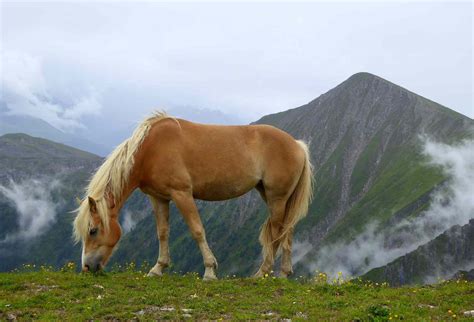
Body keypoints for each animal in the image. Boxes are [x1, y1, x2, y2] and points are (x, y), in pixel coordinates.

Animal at [72, 112, 312, 280]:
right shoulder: (159, 198)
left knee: (277, 232)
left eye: (93, 230)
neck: (151, 149)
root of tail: (297, 145)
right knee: (287, 231)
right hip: (275, 198)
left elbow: (197, 230)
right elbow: (162, 232)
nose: (87, 267)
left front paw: (210, 271)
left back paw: (262, 273)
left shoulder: (182, 194)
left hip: (277, 198)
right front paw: (158, 268)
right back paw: (284, 273)